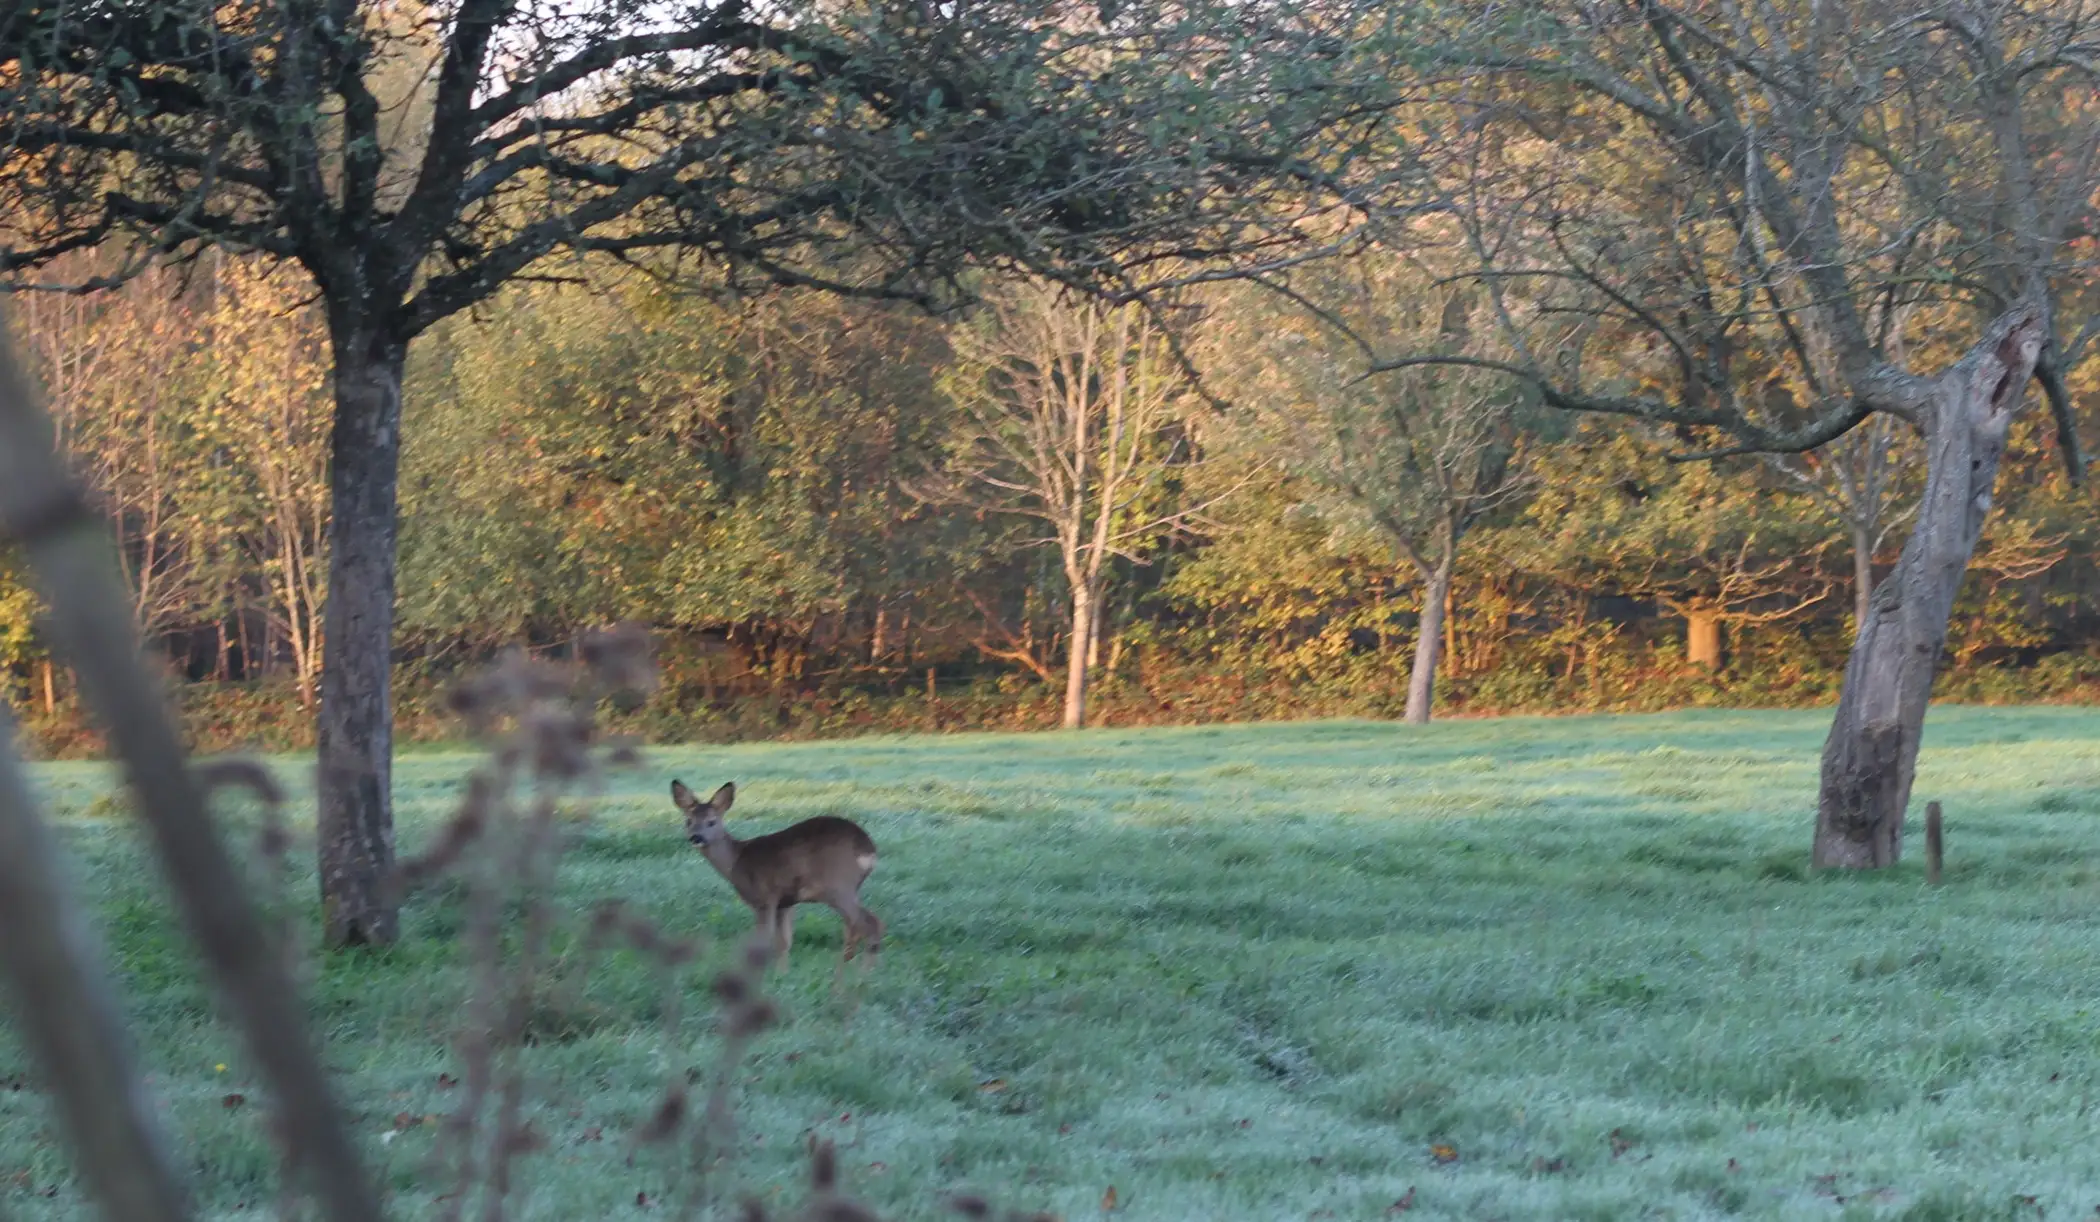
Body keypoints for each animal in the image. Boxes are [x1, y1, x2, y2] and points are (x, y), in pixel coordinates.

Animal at [669, 780, 884, 981]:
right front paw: (782, 975)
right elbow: (784, 942)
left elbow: (762, 941)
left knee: (868, 923)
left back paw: (859, 974)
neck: (736, 861)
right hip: (846, 889)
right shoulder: (785, 902)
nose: (696, 837)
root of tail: (868, 849)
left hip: (837, 885)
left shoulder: (764, 897)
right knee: (862, 925)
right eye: (688, 821)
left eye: (712, 822)